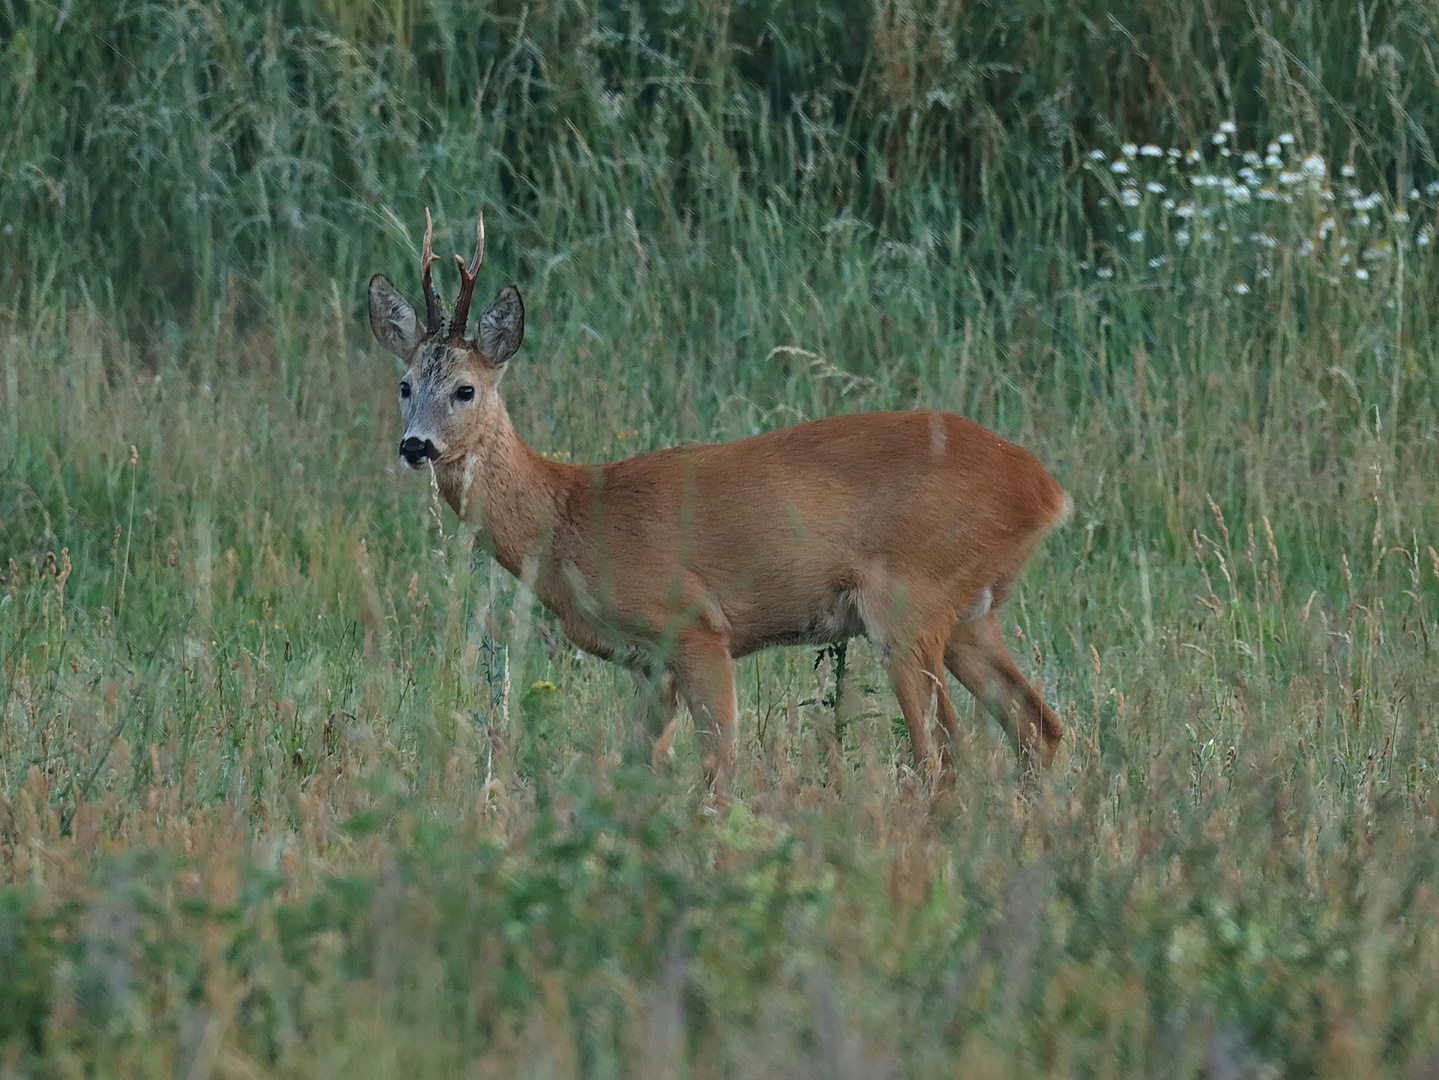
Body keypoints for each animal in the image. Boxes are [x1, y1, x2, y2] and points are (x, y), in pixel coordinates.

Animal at [371, 211, 1070, 799]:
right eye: (404, 385)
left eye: (465, 389)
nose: (415, 446)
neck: (571, 514)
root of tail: (1047, 490)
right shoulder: (647, 664)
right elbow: (638, 767)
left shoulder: (695, 625)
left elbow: (718, 767)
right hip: (971, 614)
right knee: (1038, 727)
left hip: (908, 600)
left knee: (943, 754)